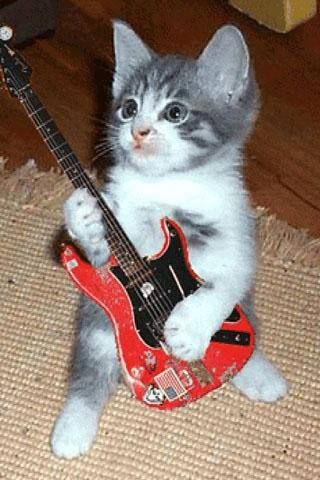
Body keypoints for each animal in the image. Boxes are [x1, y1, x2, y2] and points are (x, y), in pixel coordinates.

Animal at [50, 21, 288, 458]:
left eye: (175, 112)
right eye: (128, 108)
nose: (138, 130)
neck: (170, 185)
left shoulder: (238, 229)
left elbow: (229, 277)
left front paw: (189, 329)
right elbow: (98, 257)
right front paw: (82, 218)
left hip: (244, 313)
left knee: (248, 334)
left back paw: (257, 373)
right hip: (97, 324)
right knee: (90, 369)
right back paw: (73, 425)